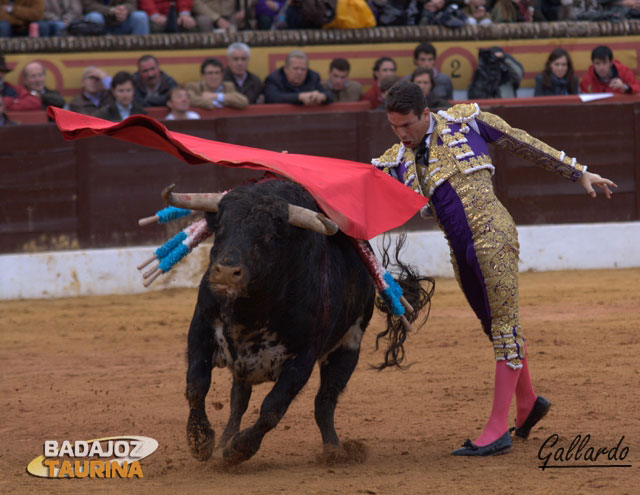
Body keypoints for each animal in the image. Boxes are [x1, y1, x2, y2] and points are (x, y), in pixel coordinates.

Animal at [180, 179, 430, 464]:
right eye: (220, 227)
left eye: (270, 237)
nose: (225, 273)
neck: (250, 309)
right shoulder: (200, 329)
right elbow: (197, 385)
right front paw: (201, 440)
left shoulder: (303, 358)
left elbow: (273, 408)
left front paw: (240, 449)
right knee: (238, 400)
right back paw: (224, 440)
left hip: (348, 348)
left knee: (325, 402)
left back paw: (334, 450)